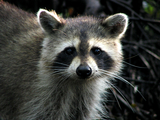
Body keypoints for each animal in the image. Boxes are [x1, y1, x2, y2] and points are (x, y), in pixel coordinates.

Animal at [0, 1, 128, 120]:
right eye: (69, 50)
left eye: (96, 50)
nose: (84, 70)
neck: (77, 82)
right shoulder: (37, 96)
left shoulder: (85, 98)